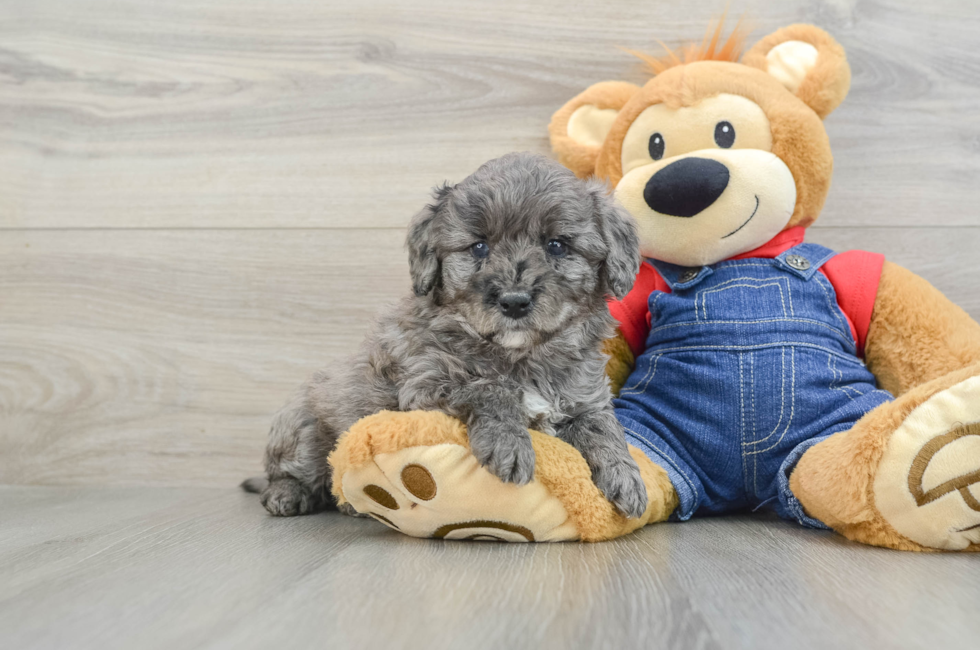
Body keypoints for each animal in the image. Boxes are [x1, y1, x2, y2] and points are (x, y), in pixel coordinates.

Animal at [249, 151, 652, 516]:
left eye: (557, 245)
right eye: (479, 247)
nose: (514, 302)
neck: (522, 356)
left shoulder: (585, 399)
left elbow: (603, 428)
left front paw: (626, 477)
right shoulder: (425, 384)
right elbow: (491, 388)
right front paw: (510, 446)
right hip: (303, 431)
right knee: (290, 472)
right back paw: (289, 495)